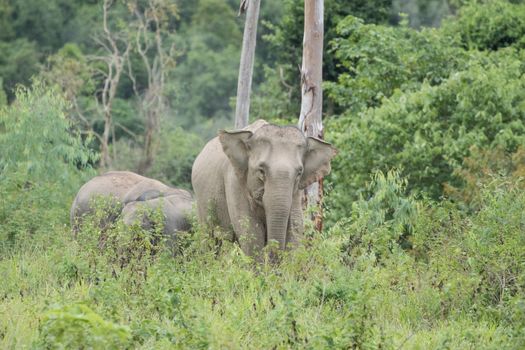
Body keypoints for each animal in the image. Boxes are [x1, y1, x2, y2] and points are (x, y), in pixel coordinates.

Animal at [192, 119, 336, 258]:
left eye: (299, 172)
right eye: (261, 170)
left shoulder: (296, 192)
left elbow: (295, 227)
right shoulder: (234, 181)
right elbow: (251, 231)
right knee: (210, 240)